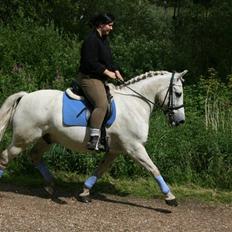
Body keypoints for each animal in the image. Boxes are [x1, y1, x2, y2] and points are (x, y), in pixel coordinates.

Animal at [0, 70, 187, 207]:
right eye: (178, 93)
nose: (180, 121)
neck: (135, 104)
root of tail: (25, 96)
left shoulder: (115, 151)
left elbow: (100, 171)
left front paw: (84, 192)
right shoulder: (134, 147)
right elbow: (154, 169)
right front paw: (170, 197)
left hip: (46, 138)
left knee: (34, 156)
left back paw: (51, 185)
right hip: (23, 138)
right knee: (6, 157)